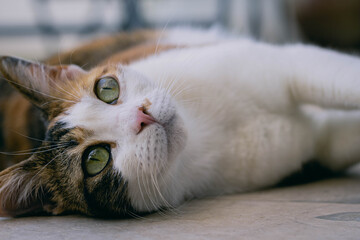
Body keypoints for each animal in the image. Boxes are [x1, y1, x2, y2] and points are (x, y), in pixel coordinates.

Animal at [0, 27, 360, 218]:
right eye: (95, 159)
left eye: (106, 89)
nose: (141, 116)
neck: (206, 132)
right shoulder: (310, 145)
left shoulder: (285, 66)